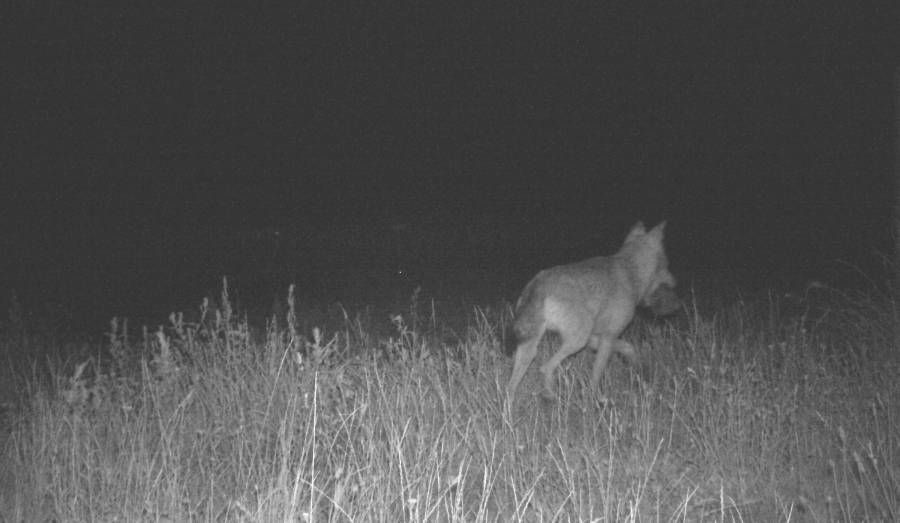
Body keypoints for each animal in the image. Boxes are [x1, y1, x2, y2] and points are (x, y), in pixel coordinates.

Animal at [510, 222, 680, 406]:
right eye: (667, 264)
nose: (676, 283)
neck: (630, 271)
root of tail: (539, 283)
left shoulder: (596, 338)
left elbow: (629, 348)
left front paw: (637, 370)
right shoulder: (607, 338)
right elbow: (596, 374)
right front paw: (597, 399)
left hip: (533, 348)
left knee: (511, 385)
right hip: (575, 342)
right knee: (545, 368)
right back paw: (551, 396)